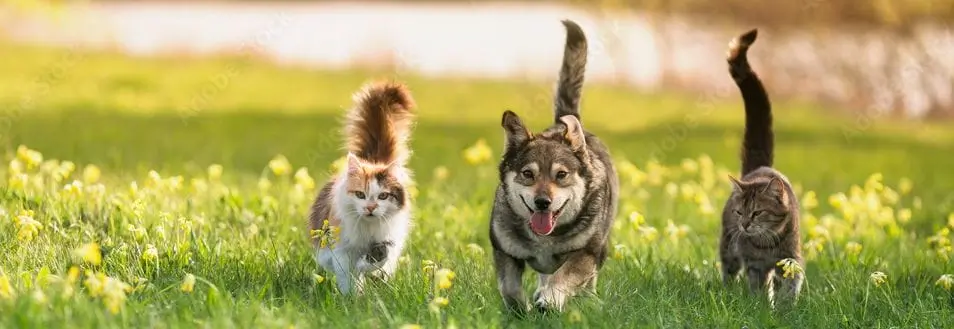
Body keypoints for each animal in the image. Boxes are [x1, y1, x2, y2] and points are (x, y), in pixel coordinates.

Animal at [308, 80, 412, 294]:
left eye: (383, 196)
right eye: (360, 194)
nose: (370, 207)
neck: (368, 228)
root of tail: (372, 160)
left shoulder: (388, 239)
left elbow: (379, 258)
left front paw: (367, 269)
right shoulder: (341, 248)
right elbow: (348, 275)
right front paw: (353, 296)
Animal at [490, 19, 616, 312]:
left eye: (562, 175)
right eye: (528, 174)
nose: (542, 203)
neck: (544, 239)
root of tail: (562, 121)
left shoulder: (586, 253)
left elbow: (566, 276)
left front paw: (549, 300)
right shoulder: (505, 251)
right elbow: (509, 287)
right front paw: (519, 309)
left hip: (600, 247)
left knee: (586, 279)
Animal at [716, 29, 800, 304]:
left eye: (757, 213)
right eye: (739, 212)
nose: (744, 225)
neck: (766, 245)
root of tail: (761, 168)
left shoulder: (791, 260)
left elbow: (790, 286)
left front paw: (785, 307)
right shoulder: (754, 264)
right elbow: (758, 286)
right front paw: (760, 305)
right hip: (728, 246)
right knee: (729, 270)